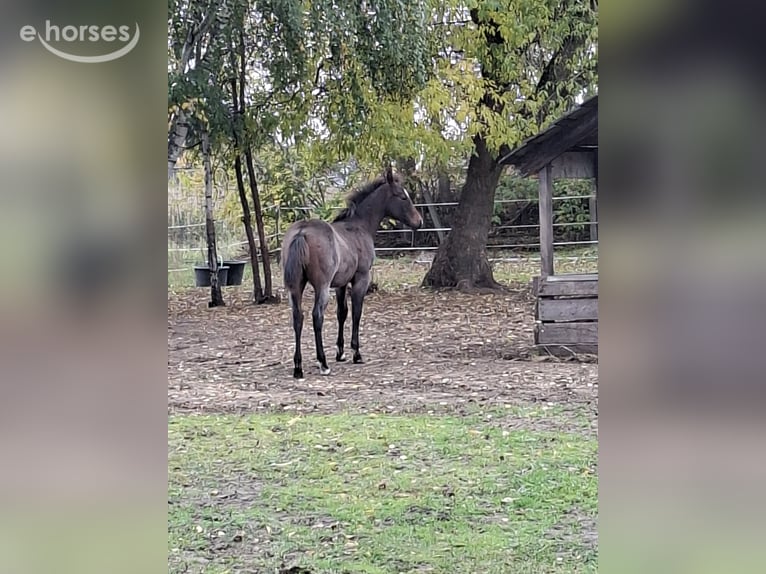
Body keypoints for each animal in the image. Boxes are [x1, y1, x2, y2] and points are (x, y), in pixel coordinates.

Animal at [281, 167, 423, 379]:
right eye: (403, 197)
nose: (419, 221)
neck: (358, 226)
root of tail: (302, 232)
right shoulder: (361, 279)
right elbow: (357, 312)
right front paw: (356, 352)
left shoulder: (340, 284)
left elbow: (342, 313)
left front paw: (340, 352)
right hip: (321, 287)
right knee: (317, 316)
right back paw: (322, 363)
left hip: (296, 286)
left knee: (298, 317)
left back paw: (298, 367)